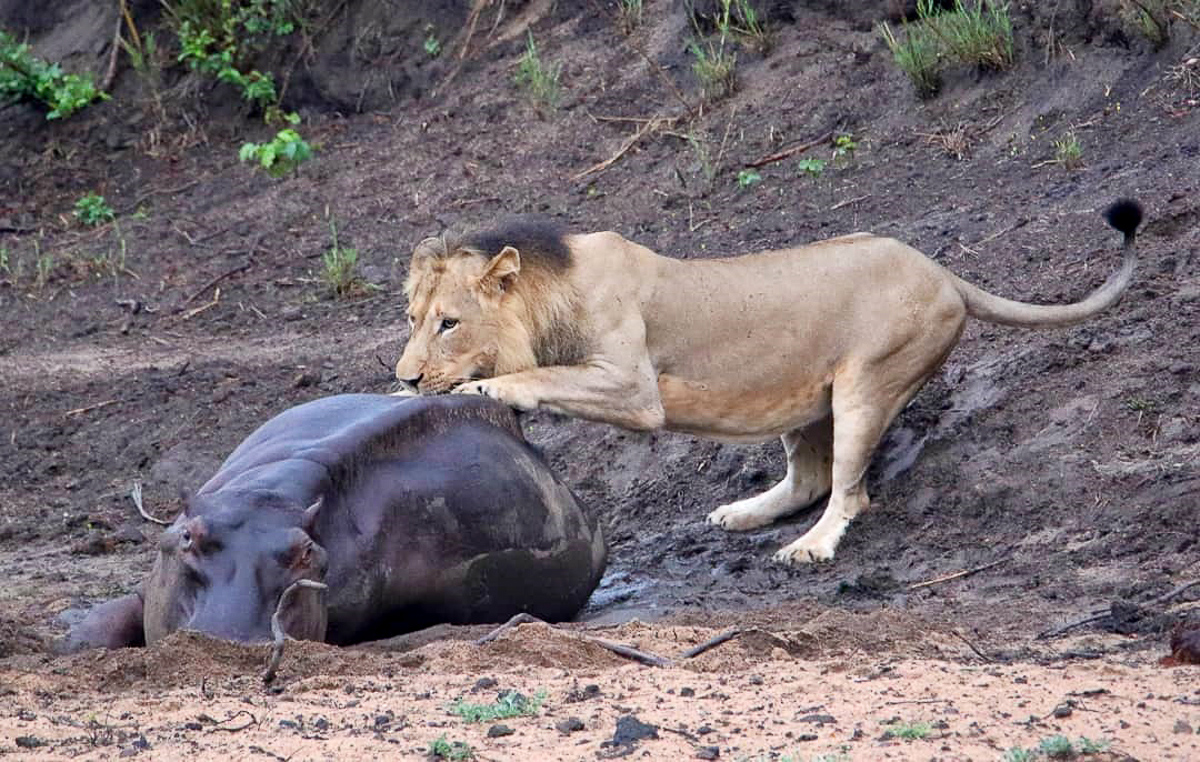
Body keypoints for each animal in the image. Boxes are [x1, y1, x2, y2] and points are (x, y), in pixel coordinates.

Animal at [59, 394, 606, 651]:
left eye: (307, 554)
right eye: (189, 536)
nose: (228, 642)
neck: (266, 496)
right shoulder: (152, 583)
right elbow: (96, 630)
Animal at [394, 200, 1142, 566]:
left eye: (449, 322)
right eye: (412, 319)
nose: (403, 373)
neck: (551, 296)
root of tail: (943, 272)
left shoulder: (634, 388)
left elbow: (543, 376)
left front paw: (484, 391)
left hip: (869, 382)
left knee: (848, 492)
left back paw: (808, 549)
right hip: (802, 397)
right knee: (808, 480)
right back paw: (745, 513)